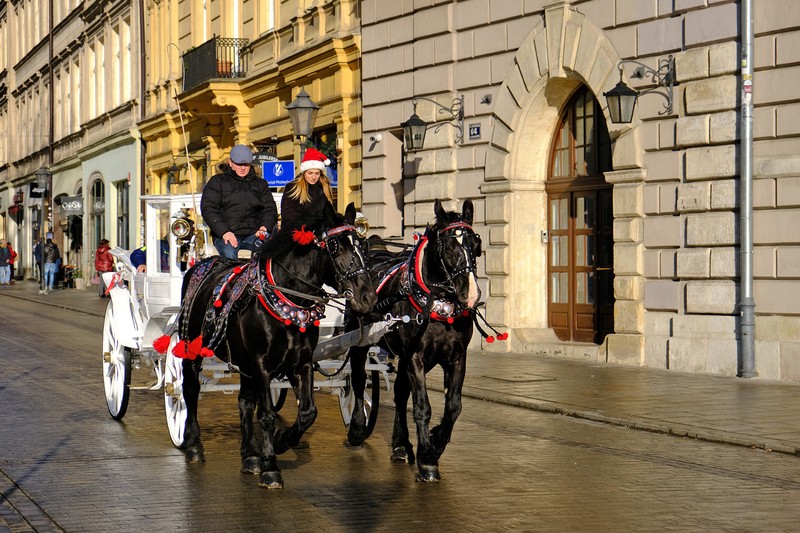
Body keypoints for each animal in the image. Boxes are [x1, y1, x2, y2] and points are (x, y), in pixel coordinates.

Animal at [164, 202, 376, 488]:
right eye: (334, 247)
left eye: (362, 246)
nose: (368, 298)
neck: (287, 300)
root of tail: (205, 263)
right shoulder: (261, 366)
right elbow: (265, 414)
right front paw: (271, 468)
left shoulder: (301, 363)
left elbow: (308, 412)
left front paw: (281, 441)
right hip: (191, 348)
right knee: (189, 389)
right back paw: (194, 446)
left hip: (243, 362)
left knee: (244, 401)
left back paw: (250, 455)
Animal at [346, 200, 482, 482]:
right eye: (448, 247)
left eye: (476, 244)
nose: (471, 295)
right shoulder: (415, 356)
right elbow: (422, 406)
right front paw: (427, 460)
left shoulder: (456, 357)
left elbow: (453, 406)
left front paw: (435, 442)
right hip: (359, 341)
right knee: (358, 379)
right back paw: (357, 429)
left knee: (399, 393)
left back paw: (400, 445)